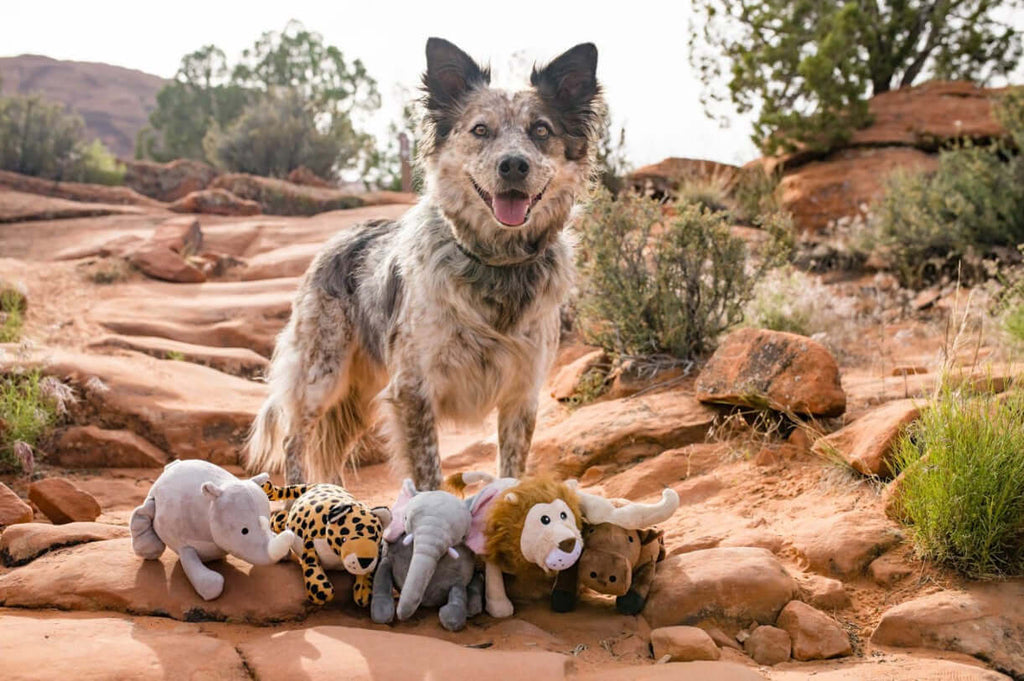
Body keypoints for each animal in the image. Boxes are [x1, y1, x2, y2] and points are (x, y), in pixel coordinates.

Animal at [243, 38, 602, 489]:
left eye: (541, 130)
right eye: (480, 130)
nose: (513, 165)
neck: (495, 263)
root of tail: (339, 238)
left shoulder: (522, 392)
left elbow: (510, 470)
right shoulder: (413, 389)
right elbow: (429, 474)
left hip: (359, 393)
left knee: (332, 448)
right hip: (322, 373)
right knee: (295, 439)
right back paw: (302, 494)